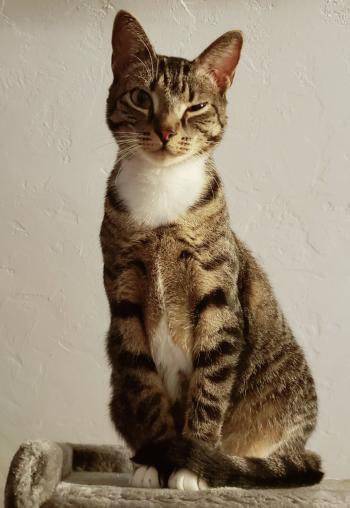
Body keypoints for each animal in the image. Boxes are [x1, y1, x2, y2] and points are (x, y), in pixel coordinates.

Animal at [99, 9, 322, 490]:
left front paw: (188, 466)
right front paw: (155, 461)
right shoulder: (124, 298)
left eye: (195, 106)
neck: (161, 195)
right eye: (141, 97)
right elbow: (147, 388)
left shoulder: (217, 297)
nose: (166, 130)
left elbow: (209, 387)